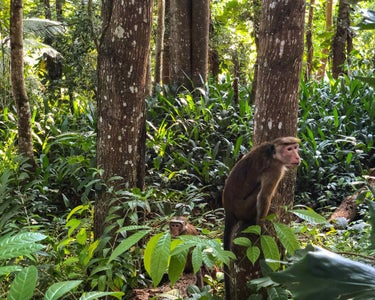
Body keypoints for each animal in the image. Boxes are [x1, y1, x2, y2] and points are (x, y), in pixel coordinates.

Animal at [222, 137, 302, 300]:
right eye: (289, 149)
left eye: (296, 148)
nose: (298, 157)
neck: (273, 154)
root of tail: (229, 210)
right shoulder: (275, 170)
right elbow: (264, 196)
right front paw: (261, 224)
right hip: (243, 209)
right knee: (260, 191)